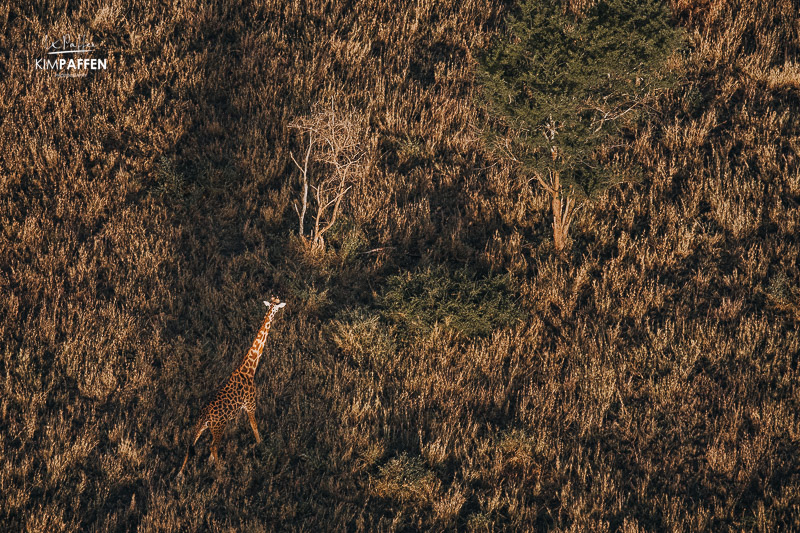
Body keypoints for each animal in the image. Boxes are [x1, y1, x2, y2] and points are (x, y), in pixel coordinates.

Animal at [179, 298, 288, 476]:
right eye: (277, 306)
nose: (280, 305)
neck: (249, 369)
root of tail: (205, 415)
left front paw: (209, 462)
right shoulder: (250, 405)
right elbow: (254, 427)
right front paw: (261, 446)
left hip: (202, 426)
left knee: (190, 445)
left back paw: (180, 474)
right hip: (218, 427)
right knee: (213, 446)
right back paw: (221, 472)